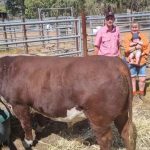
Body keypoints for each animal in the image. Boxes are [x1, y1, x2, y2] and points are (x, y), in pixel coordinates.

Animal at [0, 55, 135, 149]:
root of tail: (116, 62)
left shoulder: (18, 103)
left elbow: (25, 124)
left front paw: (27, 142)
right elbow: (39, 117)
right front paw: (39, 128)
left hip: (99, 117)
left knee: (105, 140)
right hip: (122, 112)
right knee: (125, 133)